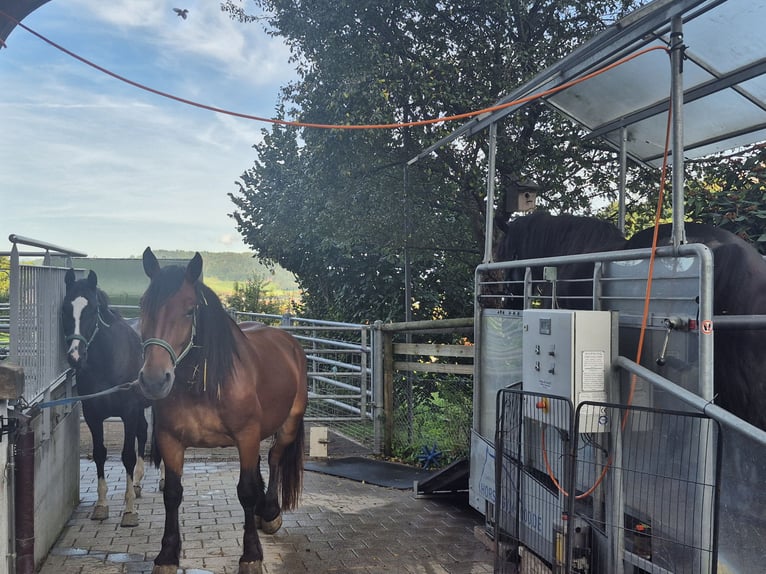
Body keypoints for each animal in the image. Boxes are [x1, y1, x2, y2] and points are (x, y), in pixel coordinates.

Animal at [62, 269, 150, 527]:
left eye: (92, 310)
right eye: (65, 308)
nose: (75, 356)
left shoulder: (129, 411)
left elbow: (127, 455)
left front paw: (129, 511)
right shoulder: (93, 414)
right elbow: (100, 453)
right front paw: (101, 506)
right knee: (144, 432)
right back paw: (138, 483)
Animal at [136, 247, 308, 574]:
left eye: (189, 310)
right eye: (143, 306)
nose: (153, 379)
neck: (204, 383)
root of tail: (288, 341)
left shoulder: (246, 436)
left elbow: (246, 491)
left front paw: (251, 554)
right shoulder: (170, 440)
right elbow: (172, 493)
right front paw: (167, 555)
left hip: (288, 425)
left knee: (274, 457)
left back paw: (269, 512)